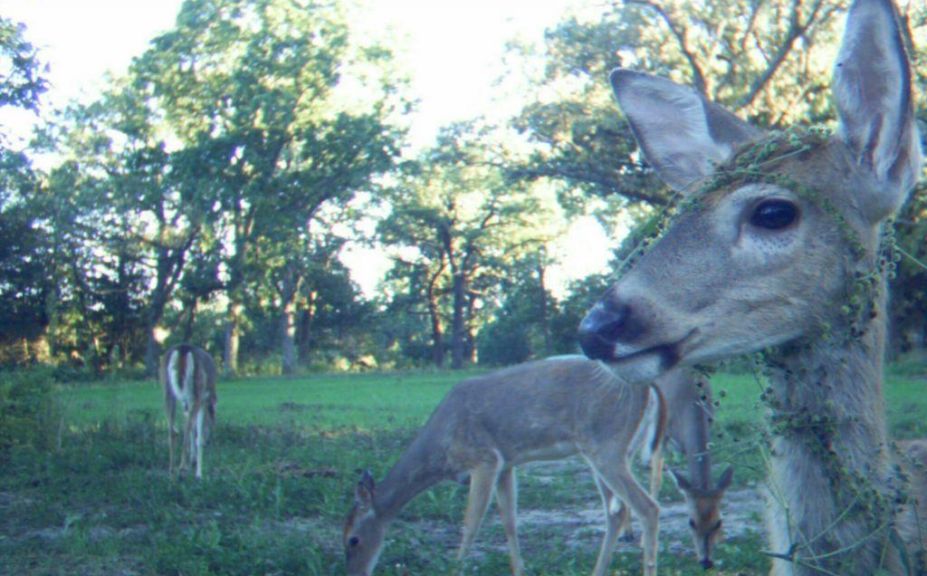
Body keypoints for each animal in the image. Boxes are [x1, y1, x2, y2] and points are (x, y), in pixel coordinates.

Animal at [160, 344, 218, 480]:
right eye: (213, 422)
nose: (208, 442)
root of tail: (183, 350)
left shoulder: (186, 402)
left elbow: (193, 428)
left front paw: (193, 460)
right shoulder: (203, 400)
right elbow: (198, 434)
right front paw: (199, 473)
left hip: (167, 389)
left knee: (173, 429)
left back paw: (172, 469)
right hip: (198, 390)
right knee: (186, 428)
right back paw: (182, 468)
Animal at [344, 356, 664, 576]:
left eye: (352, 540)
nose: (354, 573)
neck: (441, 450)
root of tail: (649, 389)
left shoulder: (484, 459)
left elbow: (471, 523)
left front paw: (455, 568)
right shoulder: (506, 465)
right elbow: (509, 521)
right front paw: (519, 570)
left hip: (606, 447)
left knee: (648, 507)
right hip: (610, 451)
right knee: (617, 511)